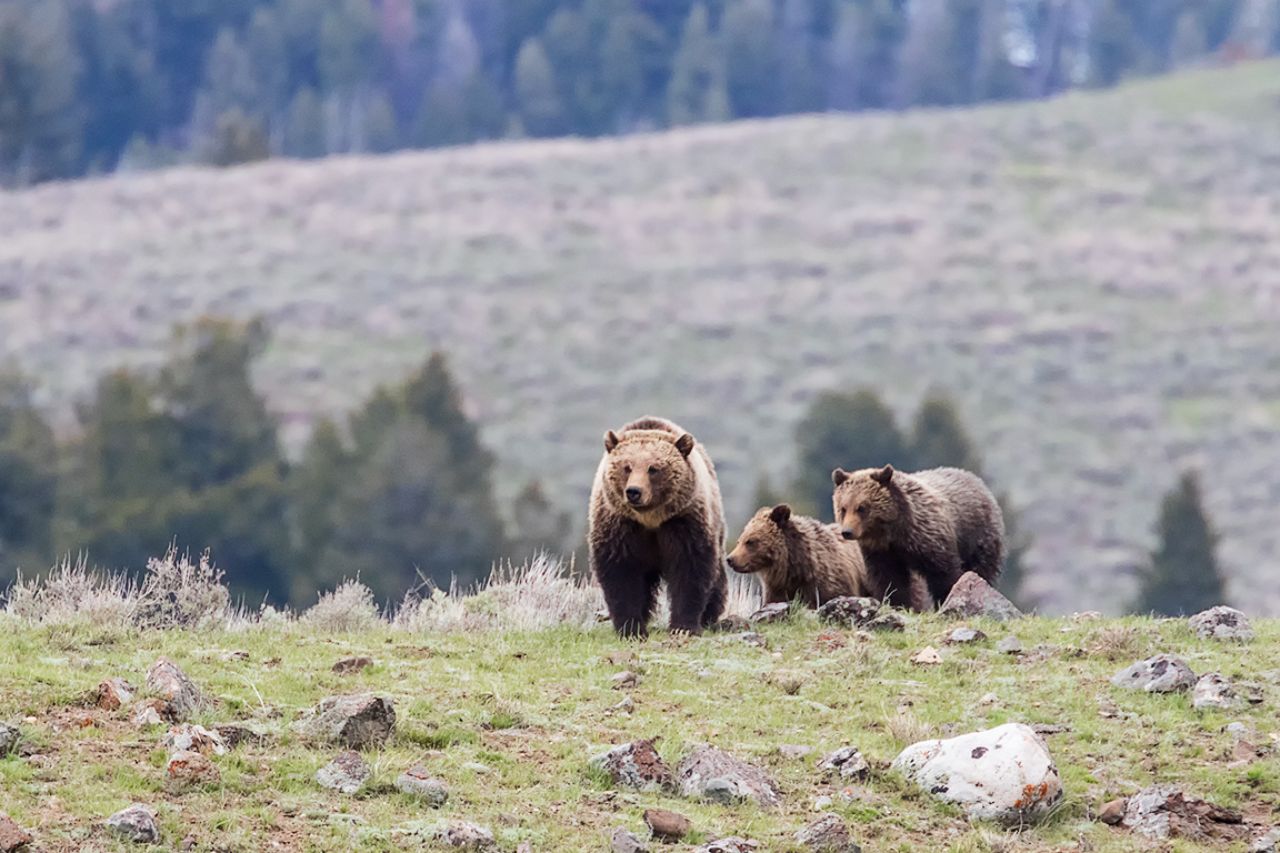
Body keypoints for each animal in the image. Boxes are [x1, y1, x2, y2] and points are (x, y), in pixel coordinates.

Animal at [589, 416, 728, 638]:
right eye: (627, 467)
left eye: (653, 468)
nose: (634, 491)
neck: (650, 519)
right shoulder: (620, 526)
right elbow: (621, 575)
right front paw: (631, 628)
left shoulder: (683, 524)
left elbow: (690, 571)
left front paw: (684, 626)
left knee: (716, 577)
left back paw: (709, 615)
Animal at [831, 464, 1004, 610]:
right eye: (843, 508)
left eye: (862, 508)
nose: (847, 532)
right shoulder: (881, 552)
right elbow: (889, 579)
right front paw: (897, 603)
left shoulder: (928, 536)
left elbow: (944, 572)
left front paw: (947, 597)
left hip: (978, 536)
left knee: (980, 567)